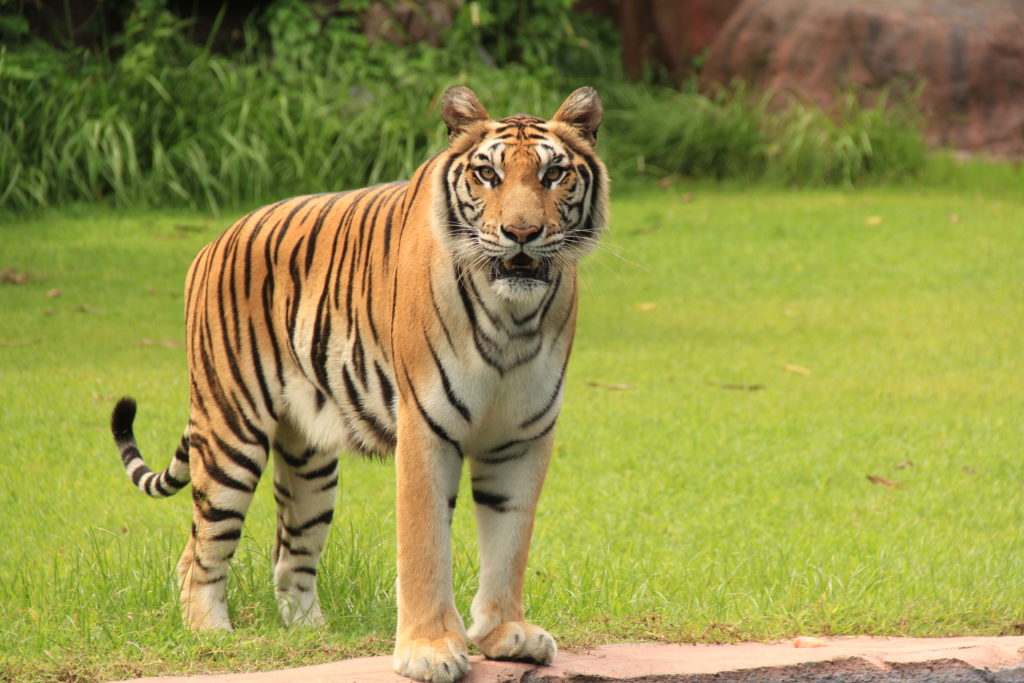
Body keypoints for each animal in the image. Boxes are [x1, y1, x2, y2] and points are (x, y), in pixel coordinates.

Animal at [112, 87, 606, 683]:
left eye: (554, 174)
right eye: (487, 174)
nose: (522, 234)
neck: (513, 317)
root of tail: (213, 243)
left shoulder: (522, 436)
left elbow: (510, 542)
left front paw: (505, 633)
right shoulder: (427, 428)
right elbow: (424, 545)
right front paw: (429, 650)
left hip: (310, 463)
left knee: (289, 555)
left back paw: (311, 634)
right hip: (230, 432)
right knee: (198, 553)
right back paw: (213, 635)